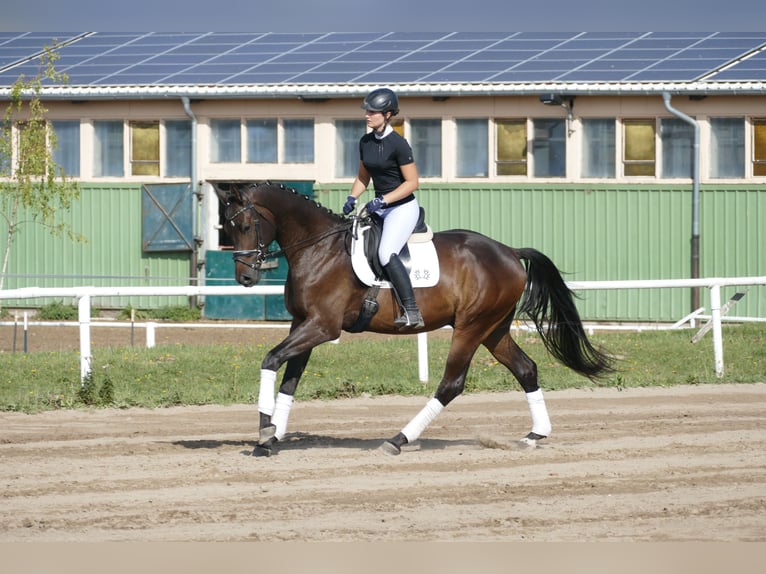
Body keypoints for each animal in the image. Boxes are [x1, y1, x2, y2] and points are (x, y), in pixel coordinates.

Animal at [213, 181, 616, 460]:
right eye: (227, 230)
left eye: (246, 225)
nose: (245, 278)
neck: (318, 248)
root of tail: (509, 252)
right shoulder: (302, 324)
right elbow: (290, 380)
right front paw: (273, 436)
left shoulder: (322, 327)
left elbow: (270, 360)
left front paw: (264, 434)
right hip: (493, 329)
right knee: (526, 368)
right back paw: (535, 435)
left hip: (471, 327)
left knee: (451, 384)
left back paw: (398, 440)